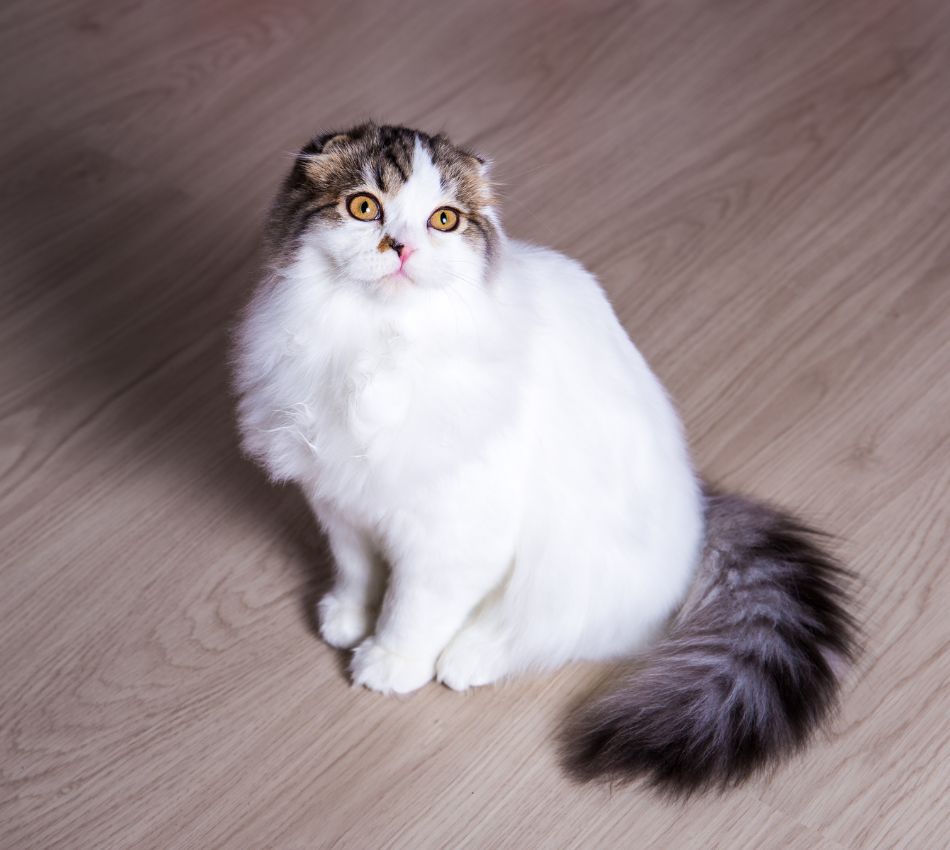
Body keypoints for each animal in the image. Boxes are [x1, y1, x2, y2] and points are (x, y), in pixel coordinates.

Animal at [232, 122, 864, 792]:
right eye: (363, 207)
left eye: (443, 220)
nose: (400, 247)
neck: (373, 347)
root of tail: (698, 515)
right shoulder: (344, 503)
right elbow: (357, 571)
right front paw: (350, 616)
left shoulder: (450, 537)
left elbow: (412, 607)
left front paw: (388, 659)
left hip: (567, 568)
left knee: (545, 633)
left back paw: (467, 658)